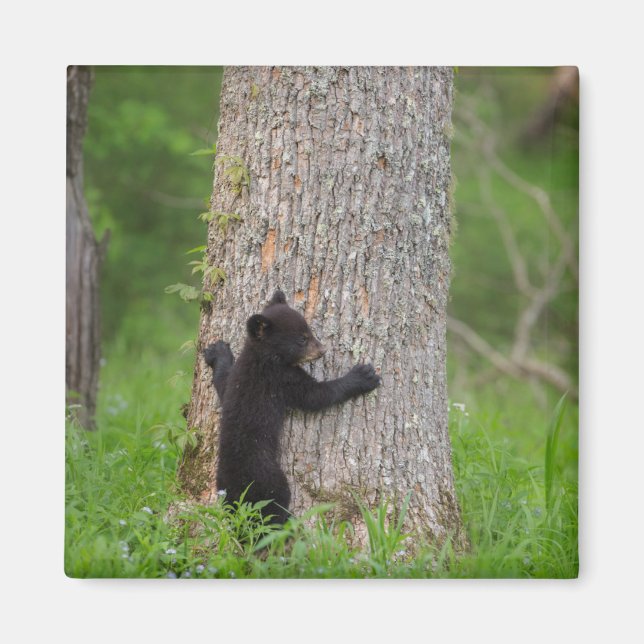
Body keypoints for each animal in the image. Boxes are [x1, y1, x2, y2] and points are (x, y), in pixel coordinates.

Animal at [203, 289, 381, 524]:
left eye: (309, 331)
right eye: (302, 339)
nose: (323, 350)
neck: (263, 356)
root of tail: (237, 493)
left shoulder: (236, 379)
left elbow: (223, 383)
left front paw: (217, 351)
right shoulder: (282, 379)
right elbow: (316, 396)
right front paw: (362, 376)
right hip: (270, 479)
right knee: (273, 508)